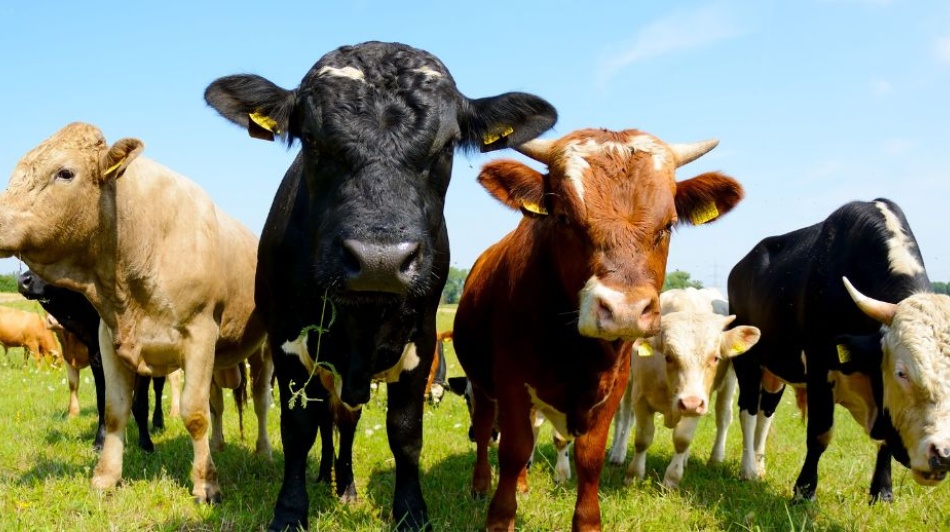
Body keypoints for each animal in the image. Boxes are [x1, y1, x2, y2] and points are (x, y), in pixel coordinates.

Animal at [0, 122, 270, 504]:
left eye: (65, 173)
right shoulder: (108, 340)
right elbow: (115, 410)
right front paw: (106, 476)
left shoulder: (200, 335)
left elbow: (194, 412)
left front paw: (206, 483)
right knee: (218, 403)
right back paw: (218, 444)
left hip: (264, 348)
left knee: (260, 401)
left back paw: (263, 451)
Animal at [204, 41, 557, 531]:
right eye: (312, 141)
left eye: (447, 146)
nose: (379, 260)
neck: (362, 319)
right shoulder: (289, 344)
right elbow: (298, 430)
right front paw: (290, 511)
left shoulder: (421, 344)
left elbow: (405, 433)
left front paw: (410, 511)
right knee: (328, 420)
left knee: (346, 421)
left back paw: (345, 485)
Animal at [453, 127, 744, 531]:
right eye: (563, 218)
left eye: (668, 225)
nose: (624, 310)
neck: (572, 348)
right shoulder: (510, 381)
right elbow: (513, 448)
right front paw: (499, 517)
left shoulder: (614, 386)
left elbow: (590, 456)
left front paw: (587, 520)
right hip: (480, 383)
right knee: (483, 430)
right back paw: (481, 484)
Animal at [606, 287, 760, 488]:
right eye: (668, 356)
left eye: (715, 358)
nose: (690, 403)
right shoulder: (640, 397)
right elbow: (642, 438)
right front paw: (633, 475)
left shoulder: (700, 401)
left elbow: (682, 439)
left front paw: (671, 479)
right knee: (624, 417)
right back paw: (617, 452)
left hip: (729, 382)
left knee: (723, 417)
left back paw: (713, 458)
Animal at [727, 198, 950, 503]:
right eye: (901, 373)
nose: (943, 454)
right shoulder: (820, 365)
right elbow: (820, 433)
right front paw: (804, 491)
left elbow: (884, 441)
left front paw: (882, 492)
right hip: (748, 360)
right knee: (748, 410)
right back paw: (748, 469)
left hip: (777, 369)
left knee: (766, 412)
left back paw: (759, 467)